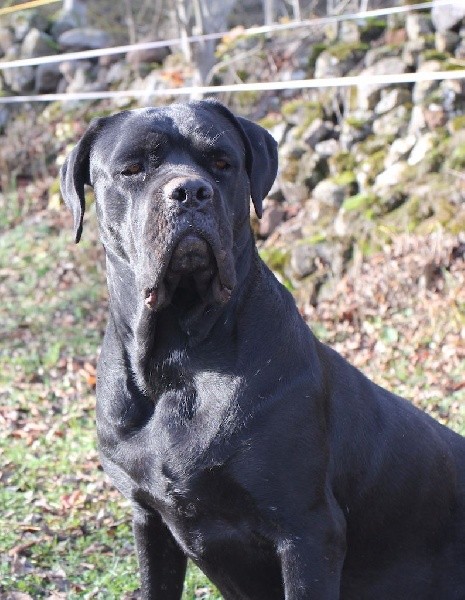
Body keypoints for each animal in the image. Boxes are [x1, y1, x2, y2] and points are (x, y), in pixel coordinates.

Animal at [61, 100, 465, 599]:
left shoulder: (307, 531)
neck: (179, 361)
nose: (190, 192)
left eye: (221, 163)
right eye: (132, 168)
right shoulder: (149, 521)